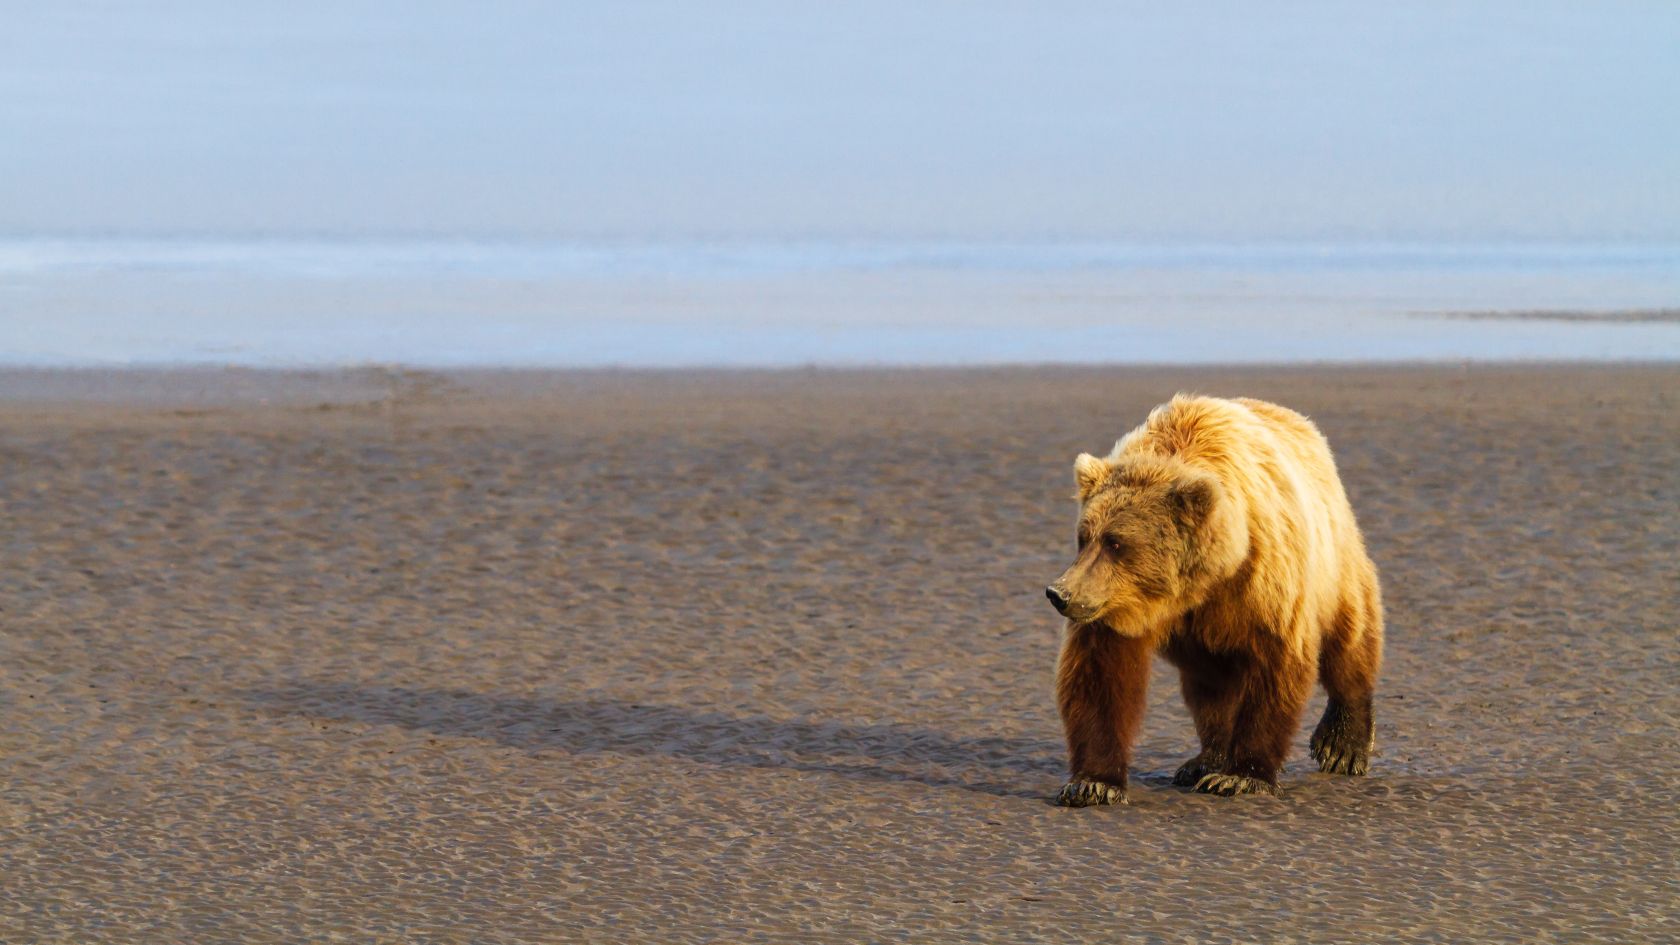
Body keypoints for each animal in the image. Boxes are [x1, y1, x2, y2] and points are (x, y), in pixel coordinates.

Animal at [1045, 394, 1383, 804]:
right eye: (1084, 537)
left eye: (1116, 543)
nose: (1059, 593)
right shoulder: (1113, 607)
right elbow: (1099, 676)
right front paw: (1093, 783)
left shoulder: (1266, 582)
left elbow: (1275, 667)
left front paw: (1240, 776)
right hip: (1199, 641)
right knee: (1210, 687)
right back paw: (1204, 760)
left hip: (1333, 558)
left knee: (1349, 637)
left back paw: (1342, 745)